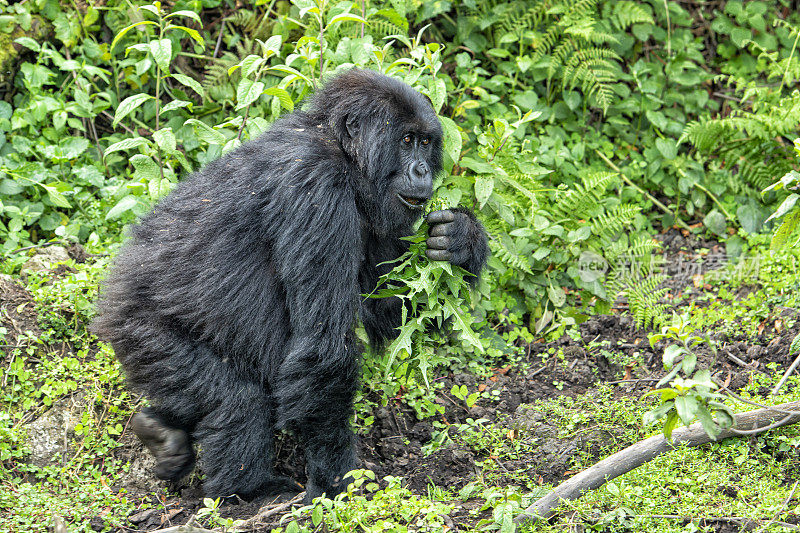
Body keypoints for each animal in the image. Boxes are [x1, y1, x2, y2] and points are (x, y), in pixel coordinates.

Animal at [94, 68, 494, 500]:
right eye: (406, 141)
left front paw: (463, 241)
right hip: (142, 334)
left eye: (425, 142)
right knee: (237, 401)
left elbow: (386, 311)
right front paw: (338, 483)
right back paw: (249, 490)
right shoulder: (318, 191)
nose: (422, 170)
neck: (340, 148)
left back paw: (161, 433)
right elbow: (324, 351)